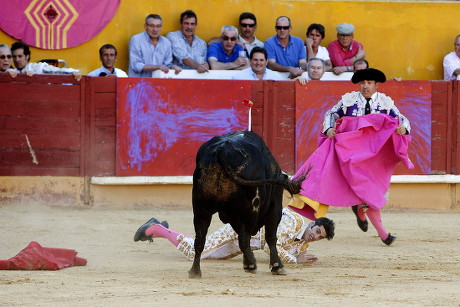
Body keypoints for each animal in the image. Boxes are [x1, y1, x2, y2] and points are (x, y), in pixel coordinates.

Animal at [189, 131, 304, 280]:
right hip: (249, 210)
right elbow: (270, 237)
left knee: (200, 239)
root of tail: (222, 150)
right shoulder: (274, 210)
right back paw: (251, 264)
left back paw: (195, 271)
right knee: (244, 238)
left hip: (201, 209)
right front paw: (277, 266)